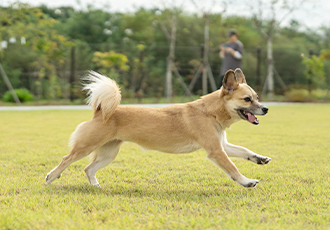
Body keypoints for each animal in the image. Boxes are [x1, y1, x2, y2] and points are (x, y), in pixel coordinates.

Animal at [47, 67, 274, 188]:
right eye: (247, 99)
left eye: (256, 97)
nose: (266, 108)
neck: (209, 112)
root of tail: (101, 111)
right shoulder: (216, 151)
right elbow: (233, 168)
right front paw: (246, 181)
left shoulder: (222, 145)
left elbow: (244, 151)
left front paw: (259, 158)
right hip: (86, 147)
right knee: (66, 159)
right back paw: (51, 177)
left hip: (108, 154)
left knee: (88, 168)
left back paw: (95, 186)